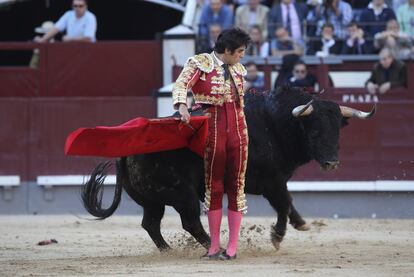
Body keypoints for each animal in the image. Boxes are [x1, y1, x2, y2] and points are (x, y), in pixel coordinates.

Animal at [81, 85, 376, 250]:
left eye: (337, 130)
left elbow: (288, 203)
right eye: (314, 130)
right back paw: (218, 247)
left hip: (154, 200)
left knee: (151, 224)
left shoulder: (275, 181)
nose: (332, 163)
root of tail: (126, 150)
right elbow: (283, 203)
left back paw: (169, 251)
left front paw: (300, 223)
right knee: (190, 222)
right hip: (182, 195)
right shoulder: (270, 181)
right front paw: (277, 236)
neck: (273, 124)